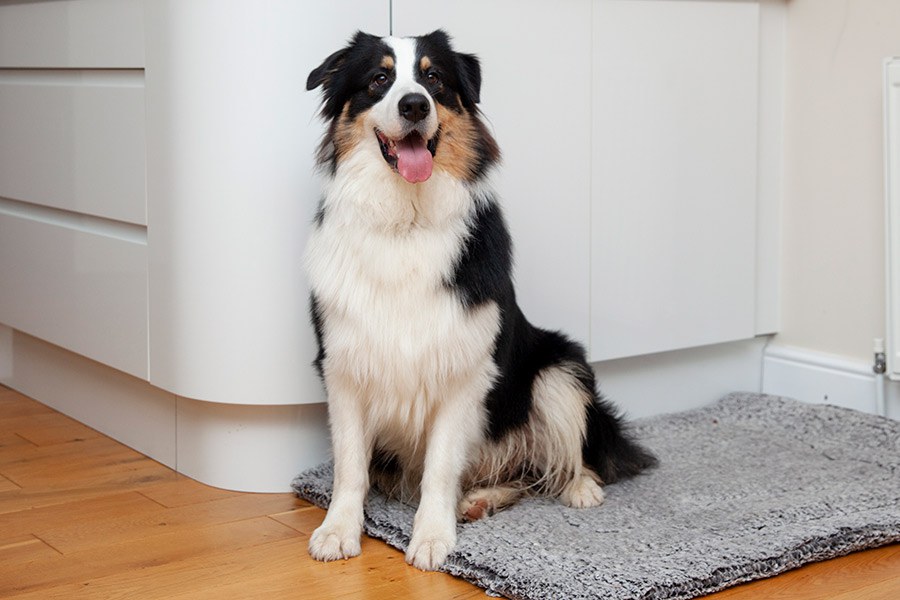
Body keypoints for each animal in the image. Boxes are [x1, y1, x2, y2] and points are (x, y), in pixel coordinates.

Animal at [306, 29, 656, 572]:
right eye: (379, 78)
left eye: (433, 78)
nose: (413, 105)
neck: (405, 221)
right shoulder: (343, 365)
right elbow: (350, 466)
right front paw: (338, 530)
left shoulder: (463, 372)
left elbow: (440, 466)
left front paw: (431, 537)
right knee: (522, 475)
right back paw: (478, 500)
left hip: (560, 367)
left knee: (570, 456)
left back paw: (578, 488)